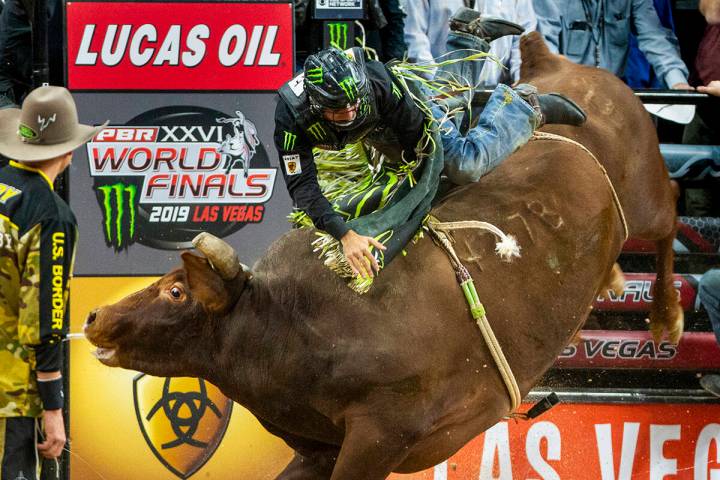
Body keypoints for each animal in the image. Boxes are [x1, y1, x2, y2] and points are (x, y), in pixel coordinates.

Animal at [84, 31, 680, 478]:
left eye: (175, 290)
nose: (93, 316)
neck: (280, 321)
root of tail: (559, 65)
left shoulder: (381, 435)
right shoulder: (318, 449)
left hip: (644, 197)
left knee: (669, 213)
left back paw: (666, 317)